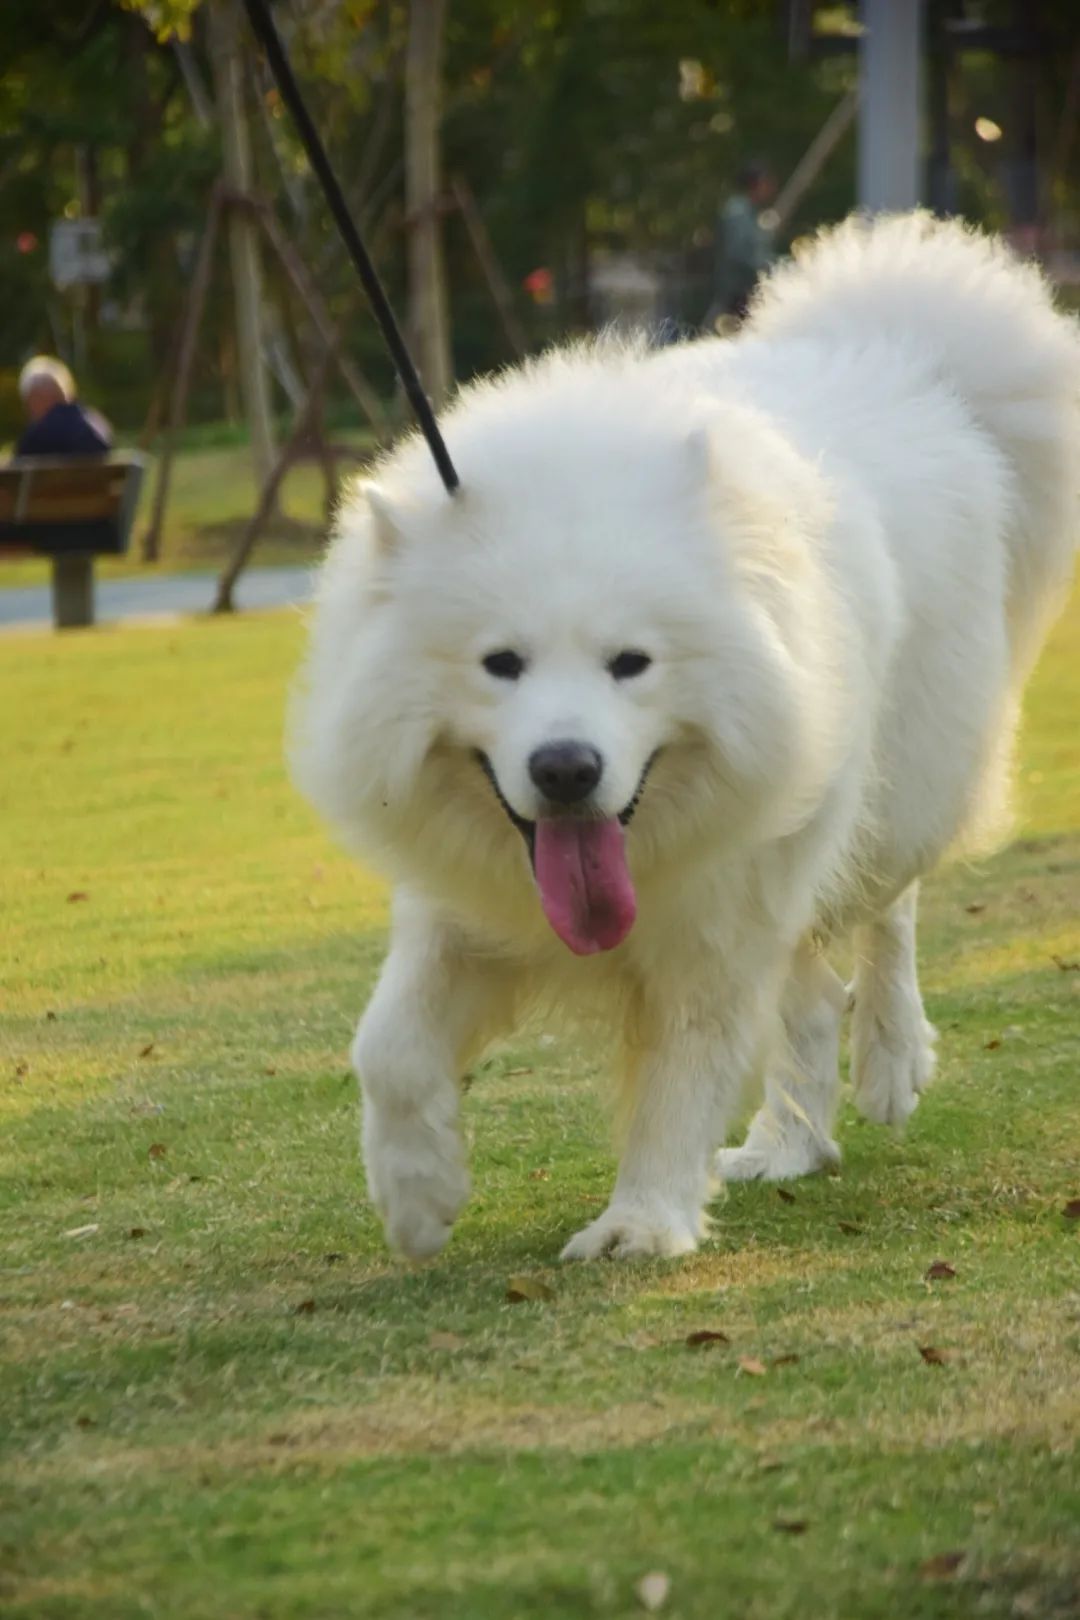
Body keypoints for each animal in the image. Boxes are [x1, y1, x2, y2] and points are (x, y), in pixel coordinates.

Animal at [291, 212, 1075, 1263]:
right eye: (501, 664)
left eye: (632, 663)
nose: (566, 769)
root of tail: (903, 356)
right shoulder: (462, 908)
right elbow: (387, 1048)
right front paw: (418, 1197)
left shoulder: (716, 927)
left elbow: (682, 1076)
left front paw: (642, 1222)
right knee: (811, 998)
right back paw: (789, 1145)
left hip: (890, 793)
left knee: (890, 913)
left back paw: (892, 1058)